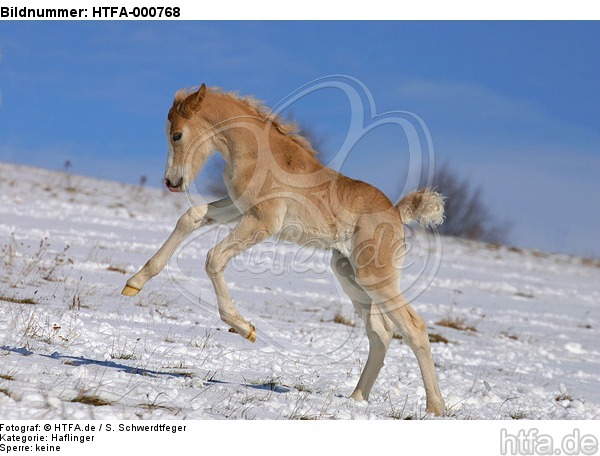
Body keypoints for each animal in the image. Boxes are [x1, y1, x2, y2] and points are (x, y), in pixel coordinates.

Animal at [123, 83, 446, 416]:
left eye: (176, 135)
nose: (171, 182)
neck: (255, 153)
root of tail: (397, 214)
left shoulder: (263, 221)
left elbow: (213, 258)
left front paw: (245, 328)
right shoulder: (238, 208)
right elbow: (191, 216)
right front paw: (134, 283)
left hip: (375, 277)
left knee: (414, 328)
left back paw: (435, 408)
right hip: (350, 276)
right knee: (381, 333)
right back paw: (356, 399)